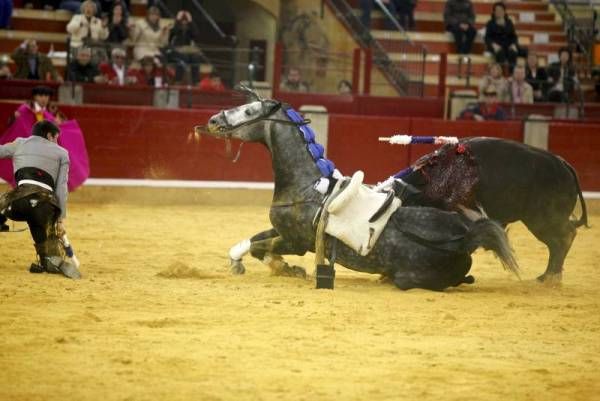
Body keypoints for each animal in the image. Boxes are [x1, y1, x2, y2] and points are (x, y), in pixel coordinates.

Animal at [199, 87, 516, 290]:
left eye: (250, 110)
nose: (213, 120)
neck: (307, 187)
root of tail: (465, 238)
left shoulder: (294, 241)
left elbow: (259, 246)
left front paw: (285, 268)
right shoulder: (282, 231)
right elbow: (255, 242)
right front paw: (272, 266)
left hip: (410, 277)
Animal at [396, 138, 588, 282]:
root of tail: (563, 164)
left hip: (543, 220)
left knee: (563, 238)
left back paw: (549, 278)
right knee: (562, 239)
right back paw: (550, 277)